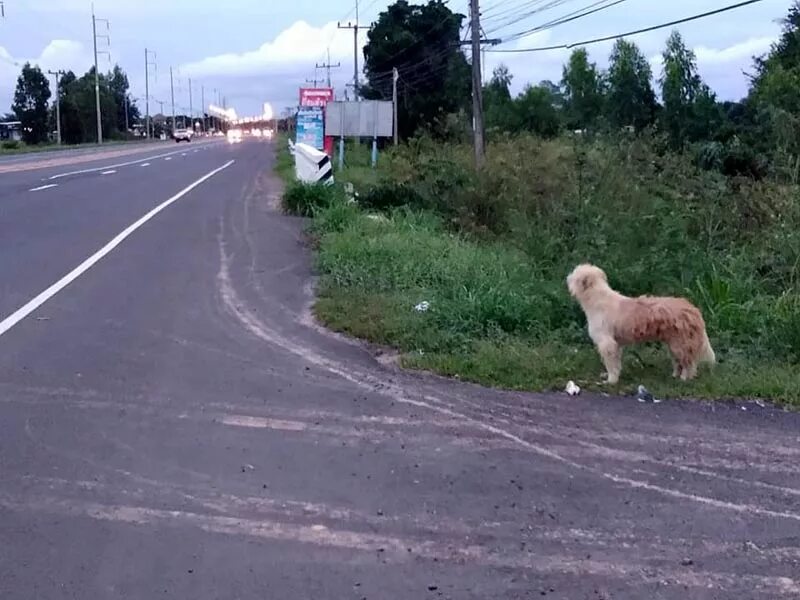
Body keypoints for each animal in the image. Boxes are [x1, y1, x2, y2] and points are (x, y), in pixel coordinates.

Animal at [564, 264, 716, 384]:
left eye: (574, 273)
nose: (567, 276)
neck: (598, 299)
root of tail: (693, 310)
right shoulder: (616, 344)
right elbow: (616, 363)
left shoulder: (607, 343)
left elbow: (611, 364)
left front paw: (611, 380)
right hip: (673, 344)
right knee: (681, 362)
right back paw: (675, 375)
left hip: (680, 344)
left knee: (689, 363)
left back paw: (684, 378)